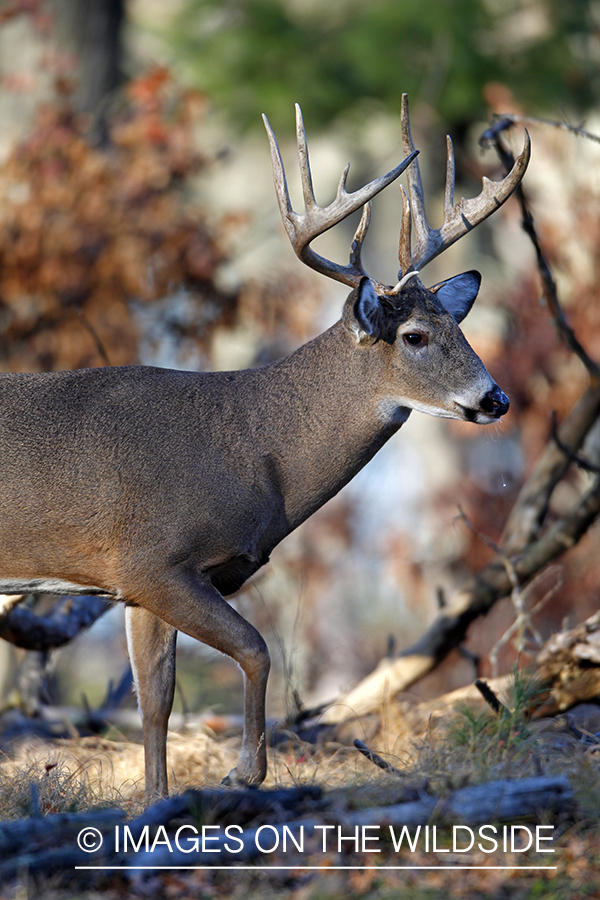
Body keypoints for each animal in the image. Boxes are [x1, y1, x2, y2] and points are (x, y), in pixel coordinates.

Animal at [0, 96, 528, 800]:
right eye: (414, 335)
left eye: (458, 326)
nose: (496, 399)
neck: (252, 446)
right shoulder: (152, 560)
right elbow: (256, 648)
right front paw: (243, 772)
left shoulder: (134, 586)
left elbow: (155, 701)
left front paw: (158, 802)